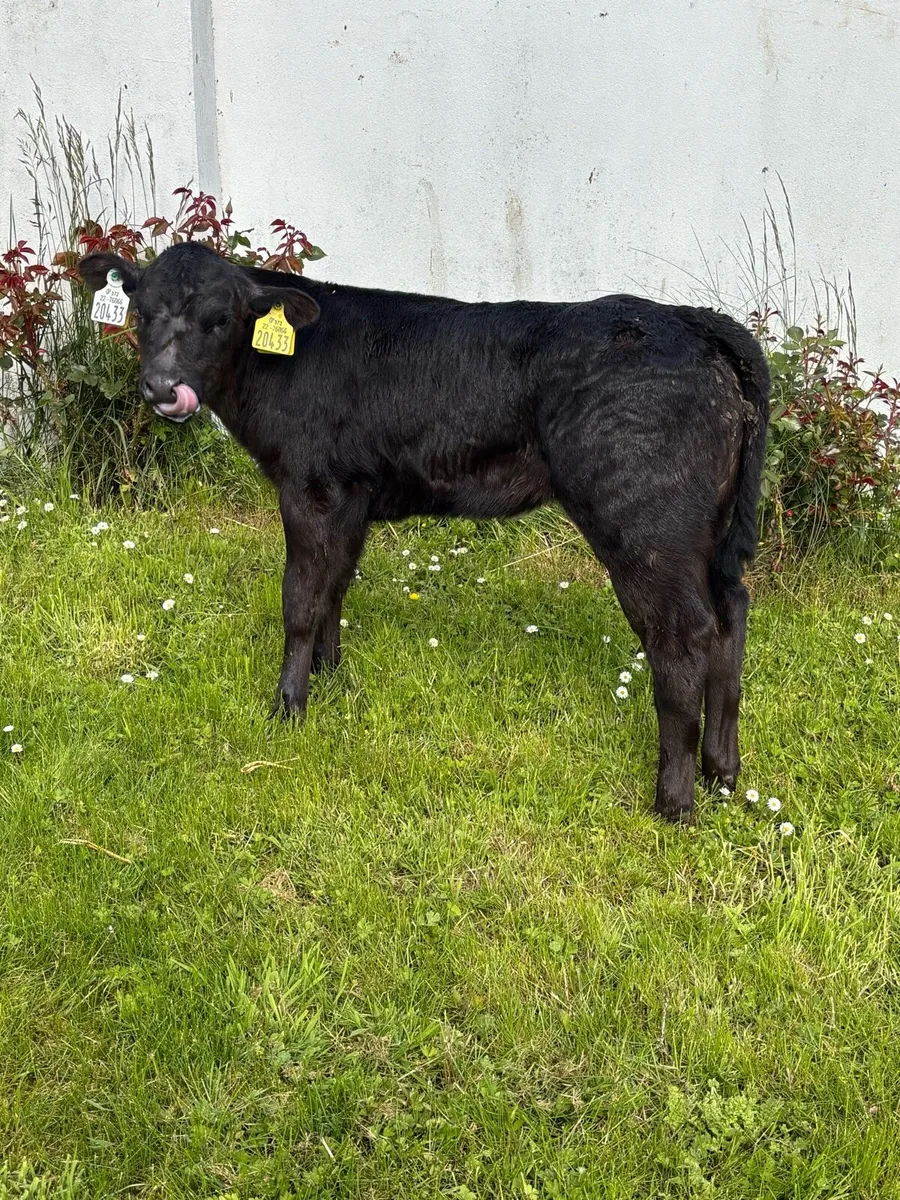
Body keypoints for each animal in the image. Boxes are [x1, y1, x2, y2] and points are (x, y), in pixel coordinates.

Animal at [78, 242, 769, 822]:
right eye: (140, 311)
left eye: (221, 319)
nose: (162, 388)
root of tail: (692, 322)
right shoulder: (350, 494)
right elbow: (334, 586)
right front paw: (330, 676)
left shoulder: (309, 486)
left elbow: (300, 599)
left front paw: (288, 708)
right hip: (707, 532)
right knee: (731, 612)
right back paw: (722, 773)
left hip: (642, 520)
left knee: (683, 635)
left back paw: (674, 801)